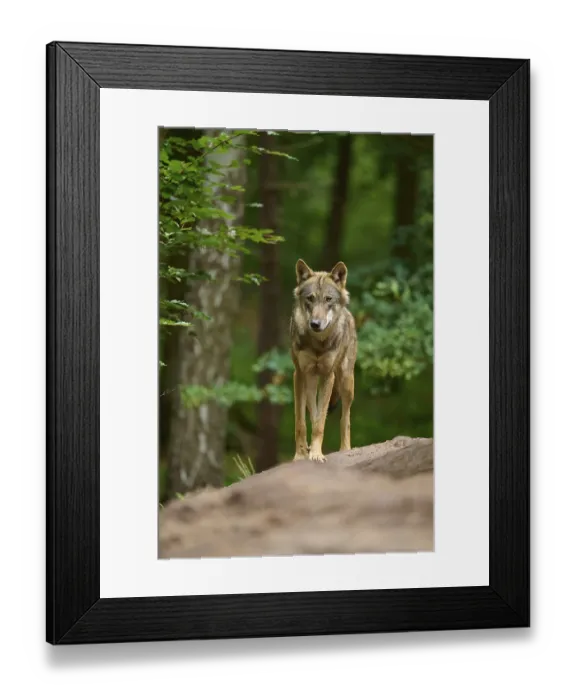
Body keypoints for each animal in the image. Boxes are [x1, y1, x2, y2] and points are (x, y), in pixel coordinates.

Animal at [289, 258, 357, 463]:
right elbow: (302, 423)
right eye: (310, 298)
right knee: (314, 413)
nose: (315, 324)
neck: (318, 343)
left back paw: (345, 450)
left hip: (346, 383)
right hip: (311, 383)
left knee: (345, 419)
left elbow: (321, 424)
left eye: (328, 299)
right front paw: (301, 455)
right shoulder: (299, 374)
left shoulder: (328, 375)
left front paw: (316, 454)